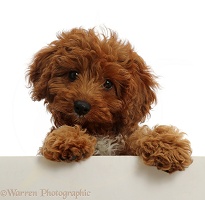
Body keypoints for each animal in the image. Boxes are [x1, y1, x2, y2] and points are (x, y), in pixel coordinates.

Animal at [27, 27, 192, 173]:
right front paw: (68, 139)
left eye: (108, 83)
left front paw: (169, 146)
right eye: (73, 74)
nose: (81, 106)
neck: (100, 131)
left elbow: (139, 135)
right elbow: (63, 129)